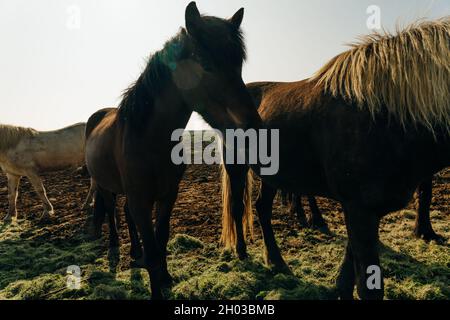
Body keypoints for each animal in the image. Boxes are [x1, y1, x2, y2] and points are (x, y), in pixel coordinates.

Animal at [85, 1, 260, 300]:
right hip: (106, 186)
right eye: (205, 64)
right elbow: (154, 249)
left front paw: (165, 277)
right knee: (110, 211)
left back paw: (136, 253)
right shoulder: (141, 200)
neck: (149, 140)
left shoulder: (168, 195)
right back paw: (116, 248)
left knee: (126, 215)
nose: (253, 129)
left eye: (238, 64)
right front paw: (157, 284)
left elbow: (161, 237)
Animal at [221, 18, 450, 300]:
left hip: (272, 176)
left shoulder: (362, 209)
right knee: (237, 206)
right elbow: (367, 286)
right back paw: (242, 252)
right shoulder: (360, 209)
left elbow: (349, 270)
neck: (386, 118)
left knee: (262, 208)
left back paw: (276, 261)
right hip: (237, 167)